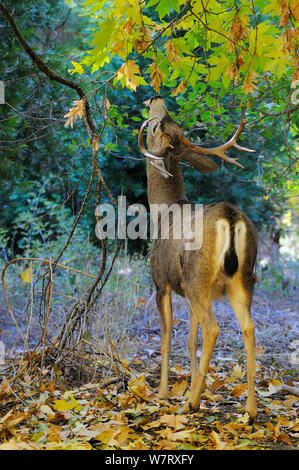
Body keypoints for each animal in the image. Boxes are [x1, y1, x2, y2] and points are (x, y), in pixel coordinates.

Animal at [138, 96, 258, 422]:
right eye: (170, 122)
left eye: (155, 127)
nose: (156, 97)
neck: (162, 212)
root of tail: (230, 218)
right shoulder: (186, 291)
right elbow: (191, 339)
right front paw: (193, 382)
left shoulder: (162, 283)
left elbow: (167, 336)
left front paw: (164, 393)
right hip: (240, 280)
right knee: (248, 327)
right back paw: (250, 410)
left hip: (198, 277)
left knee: (213, 328)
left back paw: (191, 403)